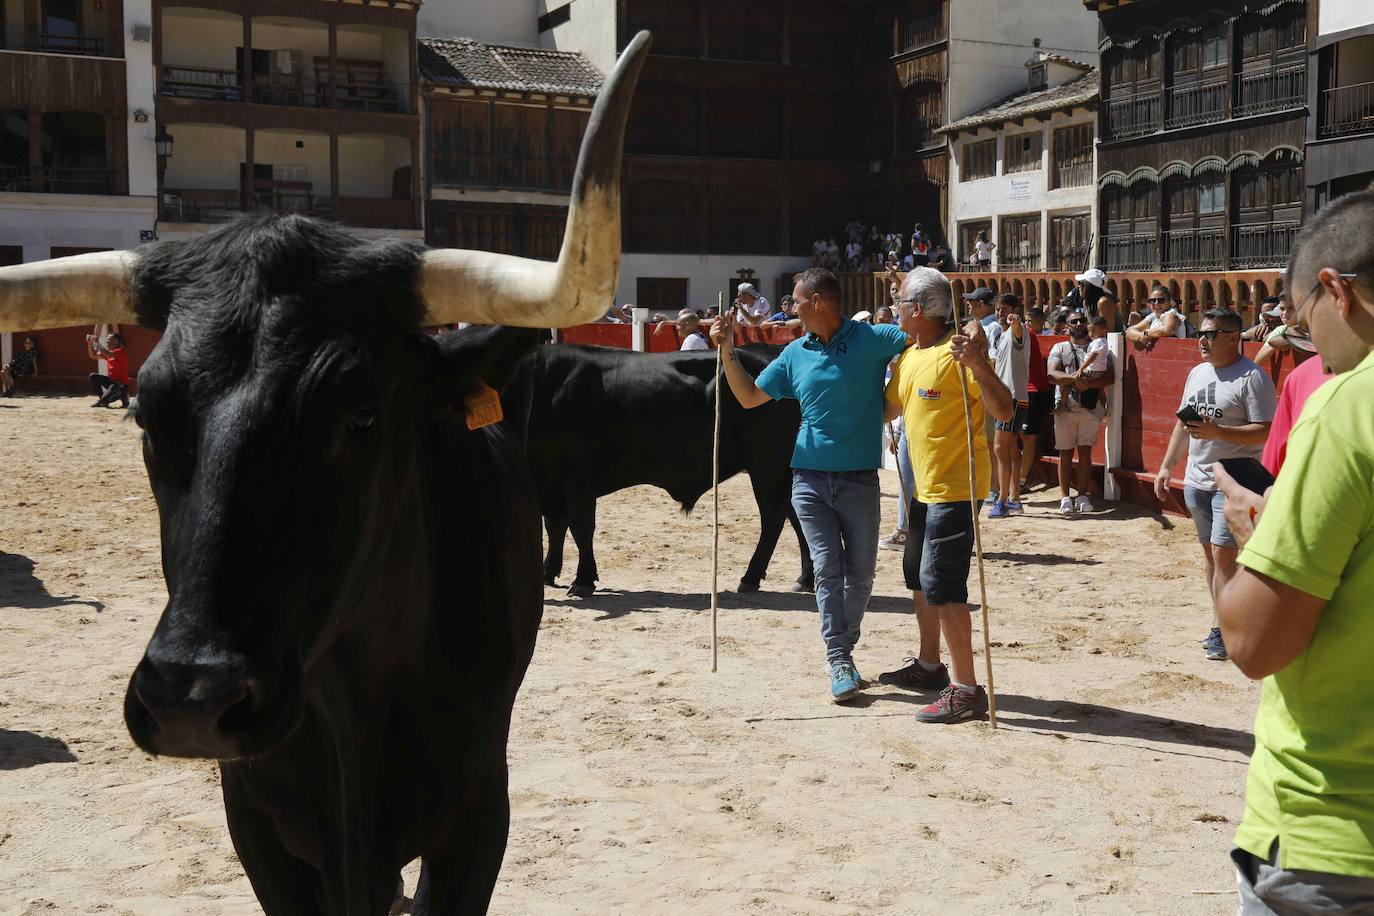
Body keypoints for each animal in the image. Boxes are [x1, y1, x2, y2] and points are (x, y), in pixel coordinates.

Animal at [516, 341, 813, 596]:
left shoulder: (577, 478)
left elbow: (580, 528)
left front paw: (583, 581)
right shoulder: (549, 480)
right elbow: (555, 527)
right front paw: (548, 572)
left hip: (767, 465)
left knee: (773, 518)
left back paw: (750, 578)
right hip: (782, 469)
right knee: (796, 516)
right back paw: (804, 578)